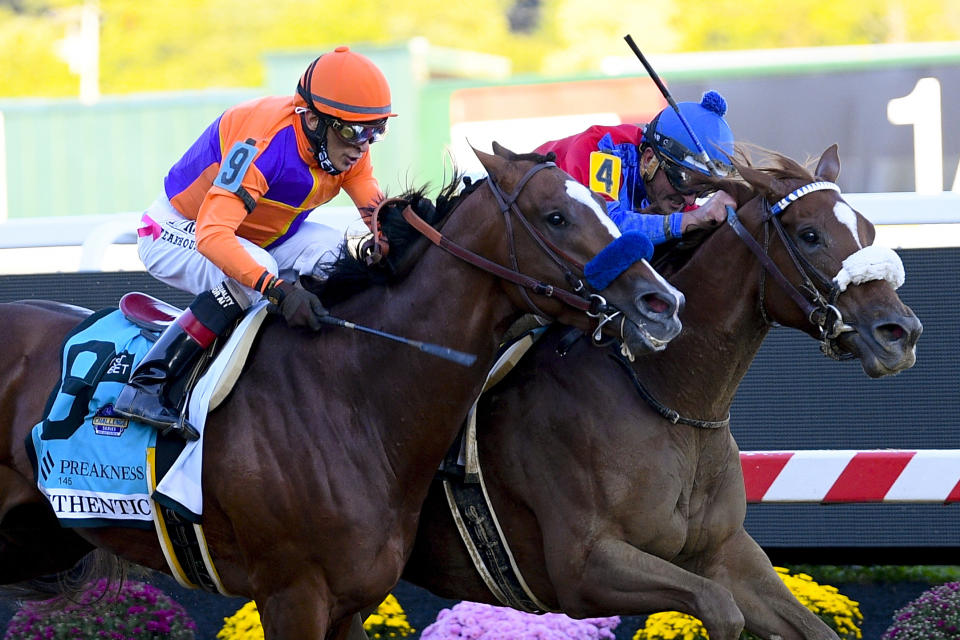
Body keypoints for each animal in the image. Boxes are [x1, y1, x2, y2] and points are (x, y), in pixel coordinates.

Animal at [0, 146, 684, 640]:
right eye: (556, 217)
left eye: (603, 205)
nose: (663, 303)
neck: (355, 394)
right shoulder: (292, 595)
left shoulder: (351, 598)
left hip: (35, 538)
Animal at [400, 145, 924, 640]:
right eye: (810, 234)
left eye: (868, 229)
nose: (900, 332)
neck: (674, 401)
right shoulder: (586, 569)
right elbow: (721, 610)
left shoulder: (725, 551)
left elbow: (810, 626)